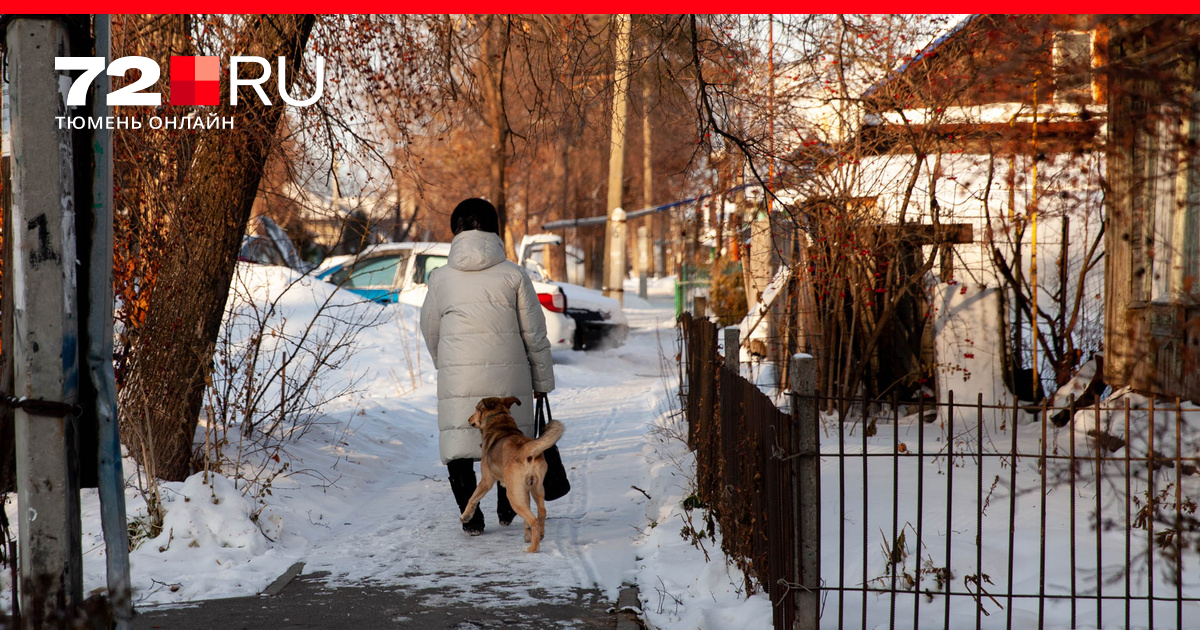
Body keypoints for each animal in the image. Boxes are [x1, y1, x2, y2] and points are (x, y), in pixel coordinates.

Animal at [463, 398, 566, 549]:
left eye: (477, 408)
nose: (469, 419)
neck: (499, 419)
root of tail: (525, 449)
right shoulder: (526, 490)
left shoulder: (486, 481)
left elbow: (473, 498)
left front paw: (465, 516)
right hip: (536, 489)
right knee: (541, 513)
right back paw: (537, 535)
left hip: (513, 495)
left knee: (533, 519)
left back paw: (532, 548)